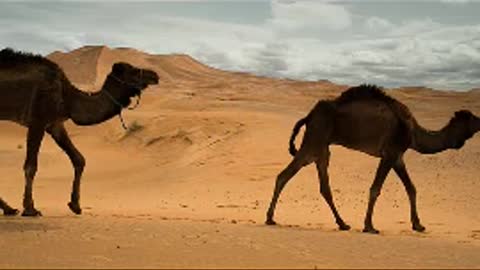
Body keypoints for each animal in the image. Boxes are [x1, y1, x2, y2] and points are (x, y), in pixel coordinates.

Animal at [0, 48, 160, 217]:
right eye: (134, 71)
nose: (154, 75)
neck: (68, 97)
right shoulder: (38, 120)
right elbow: (31, 166)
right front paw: (30, 208)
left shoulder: (55, 124)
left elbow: (79, 159)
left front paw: (75, 205)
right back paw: (10, 208)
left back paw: (9, 208)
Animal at [266, 85, 480, 234]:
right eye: (474, 118)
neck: (413, 133)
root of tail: (309, 115)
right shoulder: (390, 153)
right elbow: (375, 189)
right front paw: (369, 226)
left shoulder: (398, 157)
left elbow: (411, 188)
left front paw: (418, 225)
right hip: (313, 142)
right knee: (283, 175)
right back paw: (269, 218)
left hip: (322, 149)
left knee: (323, 187)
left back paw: (343, 224)